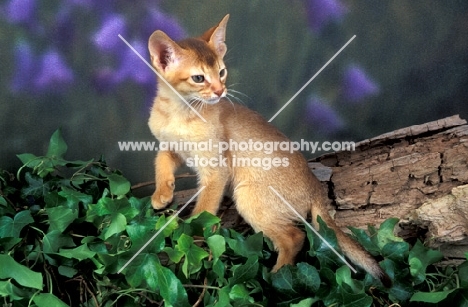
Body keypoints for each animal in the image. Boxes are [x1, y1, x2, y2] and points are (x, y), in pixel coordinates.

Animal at [149, 14, 392, 288]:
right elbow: (160, 160)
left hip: (248, 197)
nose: (221, 91)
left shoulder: (215, 171)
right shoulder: (171, 146)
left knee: (295, 237)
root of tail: (315, 188)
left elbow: (203, 213)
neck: (178, 113)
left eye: (221, 72)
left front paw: (193, 239)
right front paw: (162, 193)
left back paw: (277, 278)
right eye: (199, 78)